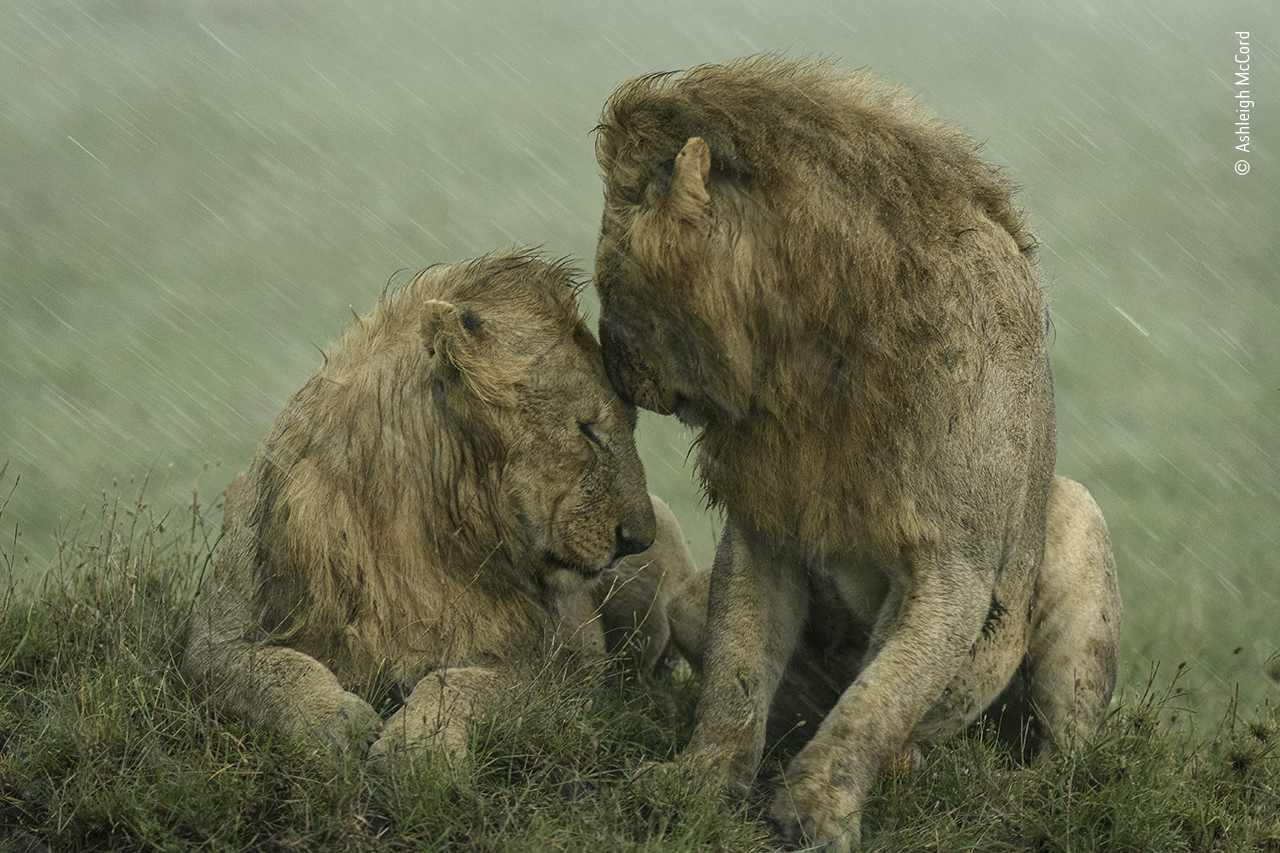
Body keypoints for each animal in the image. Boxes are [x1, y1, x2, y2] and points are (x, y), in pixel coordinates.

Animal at [180, 251, 701, 763]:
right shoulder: (217, 637)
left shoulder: (552, 669)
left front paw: (419, 745)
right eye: (587, 430)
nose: (638, 540)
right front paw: (338, 721)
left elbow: (460, 681)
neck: (408, 521)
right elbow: (272, 671)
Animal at [588, 56, 1121, 845]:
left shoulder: (954, 568)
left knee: (1066, 751)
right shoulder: (764, 528)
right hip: (686, 597)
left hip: (1074, 519)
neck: (811, 361)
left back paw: (999, 786)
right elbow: (735, 677)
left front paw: (816, 809)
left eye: (610, 285)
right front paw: (697, 784)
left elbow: (879, 697)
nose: (613, 368)